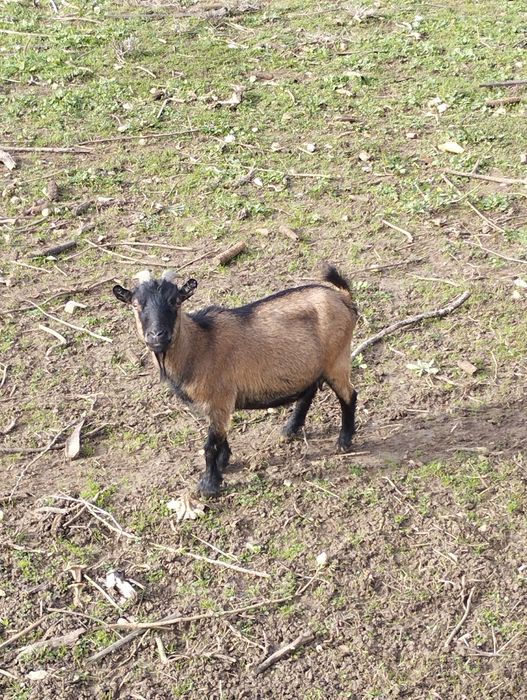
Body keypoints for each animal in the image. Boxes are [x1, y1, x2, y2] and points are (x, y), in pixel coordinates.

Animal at [113, 265, 358, 496]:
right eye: (135, 304)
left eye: (175, 301)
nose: (157, 335)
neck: (199, 345)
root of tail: (343, 298)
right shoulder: (215, 405)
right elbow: (219, 436)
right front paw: (224, 461)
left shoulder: (219, 399)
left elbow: (210, 445)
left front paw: (209, 485)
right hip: (312, 366)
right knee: (309, 390)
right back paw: (290, 429)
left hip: (336, 360)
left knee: (349, 395)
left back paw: (344, 441)